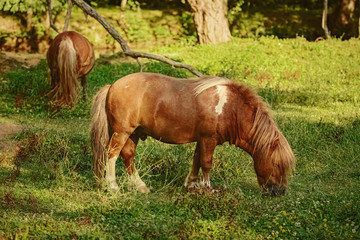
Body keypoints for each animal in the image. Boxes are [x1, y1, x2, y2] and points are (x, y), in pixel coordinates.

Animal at [90, 72, 296, 196]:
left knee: (128, 156)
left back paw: (140, 186)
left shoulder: (202, 140)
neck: (231, 108)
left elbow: (196, 161)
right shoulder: (208, 139)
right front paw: (207, 188)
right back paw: (113, 187)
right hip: (122, 132)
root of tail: (112, 86)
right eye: (277, 164)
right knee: (112, 155)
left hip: (132, 134)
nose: (280, 192)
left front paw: (190, 185)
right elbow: (206, 163)